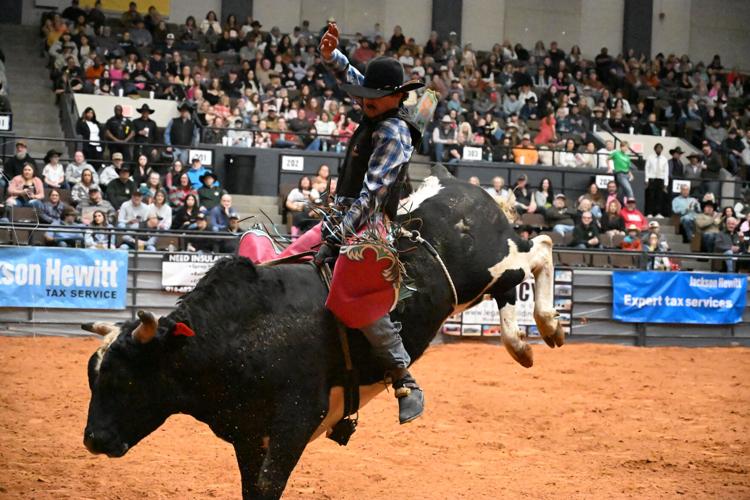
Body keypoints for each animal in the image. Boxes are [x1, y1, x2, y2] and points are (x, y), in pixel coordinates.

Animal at [83, 172, 564, 499]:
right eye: (93, 378)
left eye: (125, 380)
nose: (93, 440)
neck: (240, 334)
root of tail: (461, 186)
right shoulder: (247, 434)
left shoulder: (294, 423)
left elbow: (267, 487)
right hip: (479, 283)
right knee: (513, 284)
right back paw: (521, 344)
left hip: (492, 262)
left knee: (539, 250)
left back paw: (548, 324)